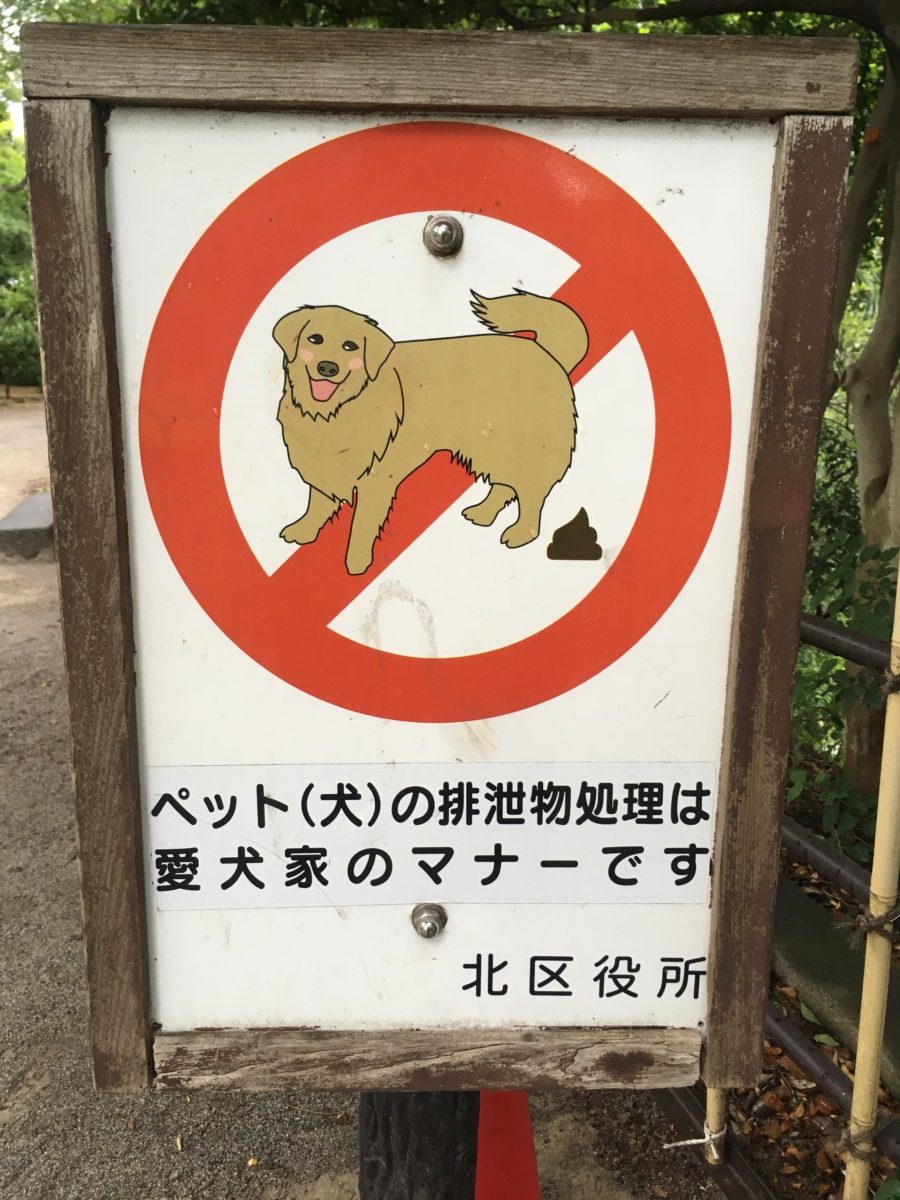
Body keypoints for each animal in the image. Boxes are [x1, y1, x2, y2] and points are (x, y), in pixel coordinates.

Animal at [273, 289, 588, 575]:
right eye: (315, 339)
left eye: (350, 346)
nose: (328, 368)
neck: (338, 410)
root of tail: (546, 354)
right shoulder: (325, 465)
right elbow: (317, 504)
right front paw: (303, 530)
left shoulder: (375, 480)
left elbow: (361, 524)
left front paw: (356, 561)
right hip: (492, 448)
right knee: (505, 486)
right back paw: (483, 513)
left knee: (532, 493)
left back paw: (522, 532)